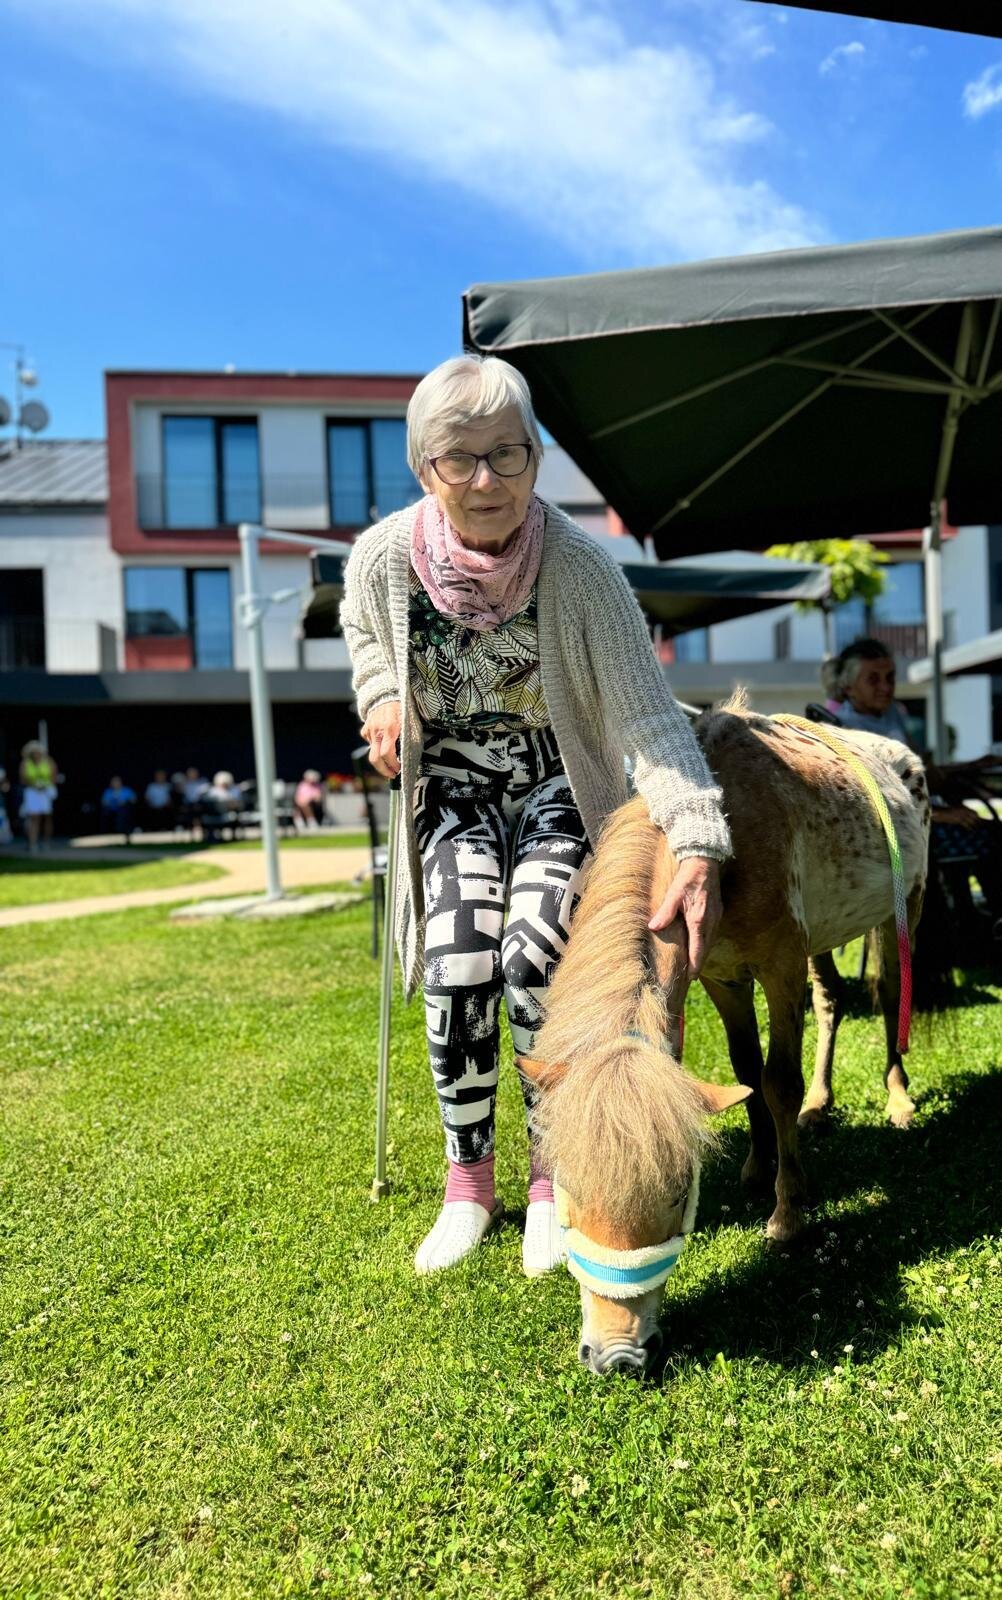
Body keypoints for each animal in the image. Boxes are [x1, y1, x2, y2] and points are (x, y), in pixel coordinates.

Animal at [522, 699, 930, 1377]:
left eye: (677, 1193)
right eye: (568, 1191)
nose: (617, 1357)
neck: (721, 846)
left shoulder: (779, 964)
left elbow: (777, 1081)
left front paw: (788, 1213)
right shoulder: (721, 976)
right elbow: (746, 1073)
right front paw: (759, 1165)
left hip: (904, 908)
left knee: (892, 994)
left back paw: (897, 1098)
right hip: (823, 939)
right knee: (832, 1002)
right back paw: (822, 1105)